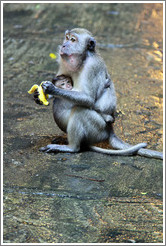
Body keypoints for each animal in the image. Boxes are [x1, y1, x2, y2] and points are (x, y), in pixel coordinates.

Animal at [39, 28, 162, 160]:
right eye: (66, 38)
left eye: (73, 40)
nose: (64, 45)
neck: (83, 59)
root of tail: (110, 131)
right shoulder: (64, 62)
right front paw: (41, 94)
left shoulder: (92, 67)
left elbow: (88, 99)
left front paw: (52, 89)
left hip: (98, 129)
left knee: (80, 110)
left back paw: (72, 147)